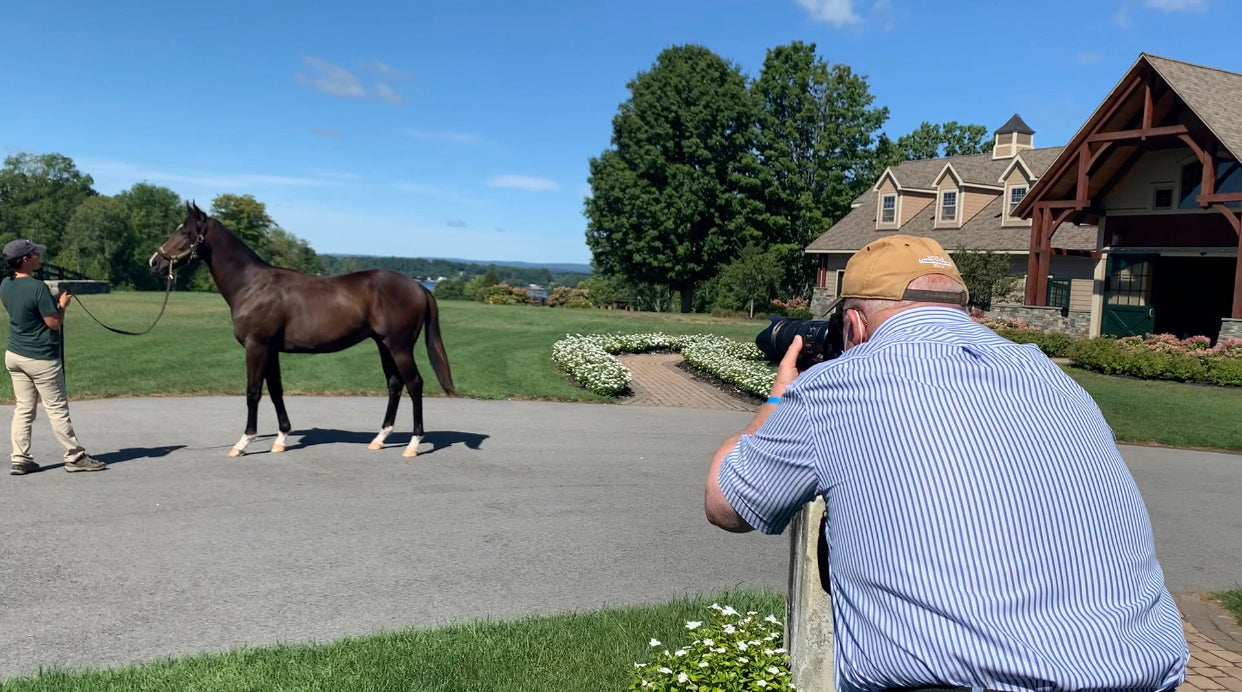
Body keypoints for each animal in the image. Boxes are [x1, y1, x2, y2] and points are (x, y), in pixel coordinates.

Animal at [147, 202, 454, 457]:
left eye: (186, 233)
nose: (155, 262)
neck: (251, 285)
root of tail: (418, 287)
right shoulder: (271, 350)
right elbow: (276, 390)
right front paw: (281, 439)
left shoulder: (256, 347)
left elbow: (253, 391)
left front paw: (243, 442)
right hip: (383, 344)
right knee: (394, 384)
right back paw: (380, 438)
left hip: (399, 346)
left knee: (414, 384)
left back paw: (413, 444)